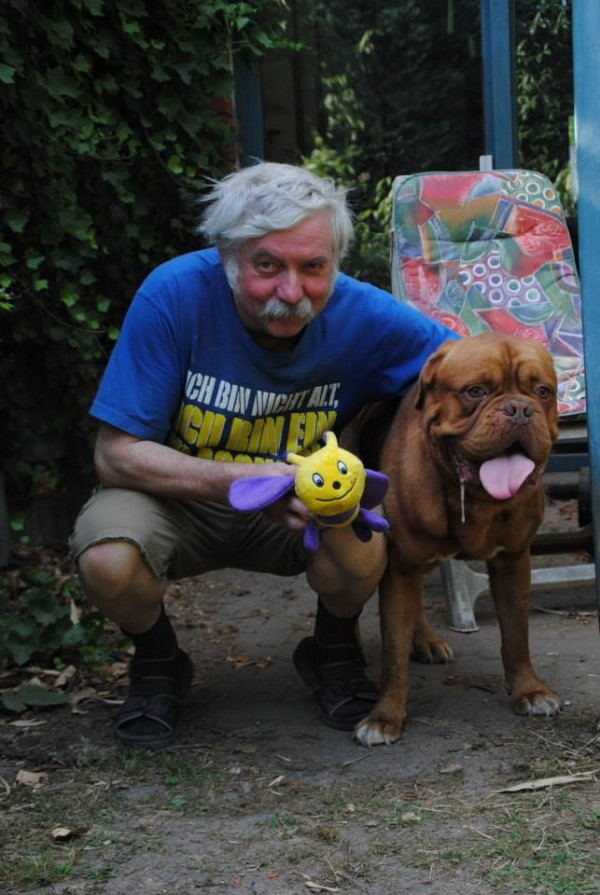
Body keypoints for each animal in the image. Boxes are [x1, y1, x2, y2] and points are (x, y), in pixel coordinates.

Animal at [351, 332, 561, 747]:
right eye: (475, 391)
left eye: (542, 391)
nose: (518, 409)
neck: (474, 498)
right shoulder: (400, 566)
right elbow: (393, 652)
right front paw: (385, 717)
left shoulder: (514, 562)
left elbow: (517, 633)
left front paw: (529, 690)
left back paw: (426, 642)